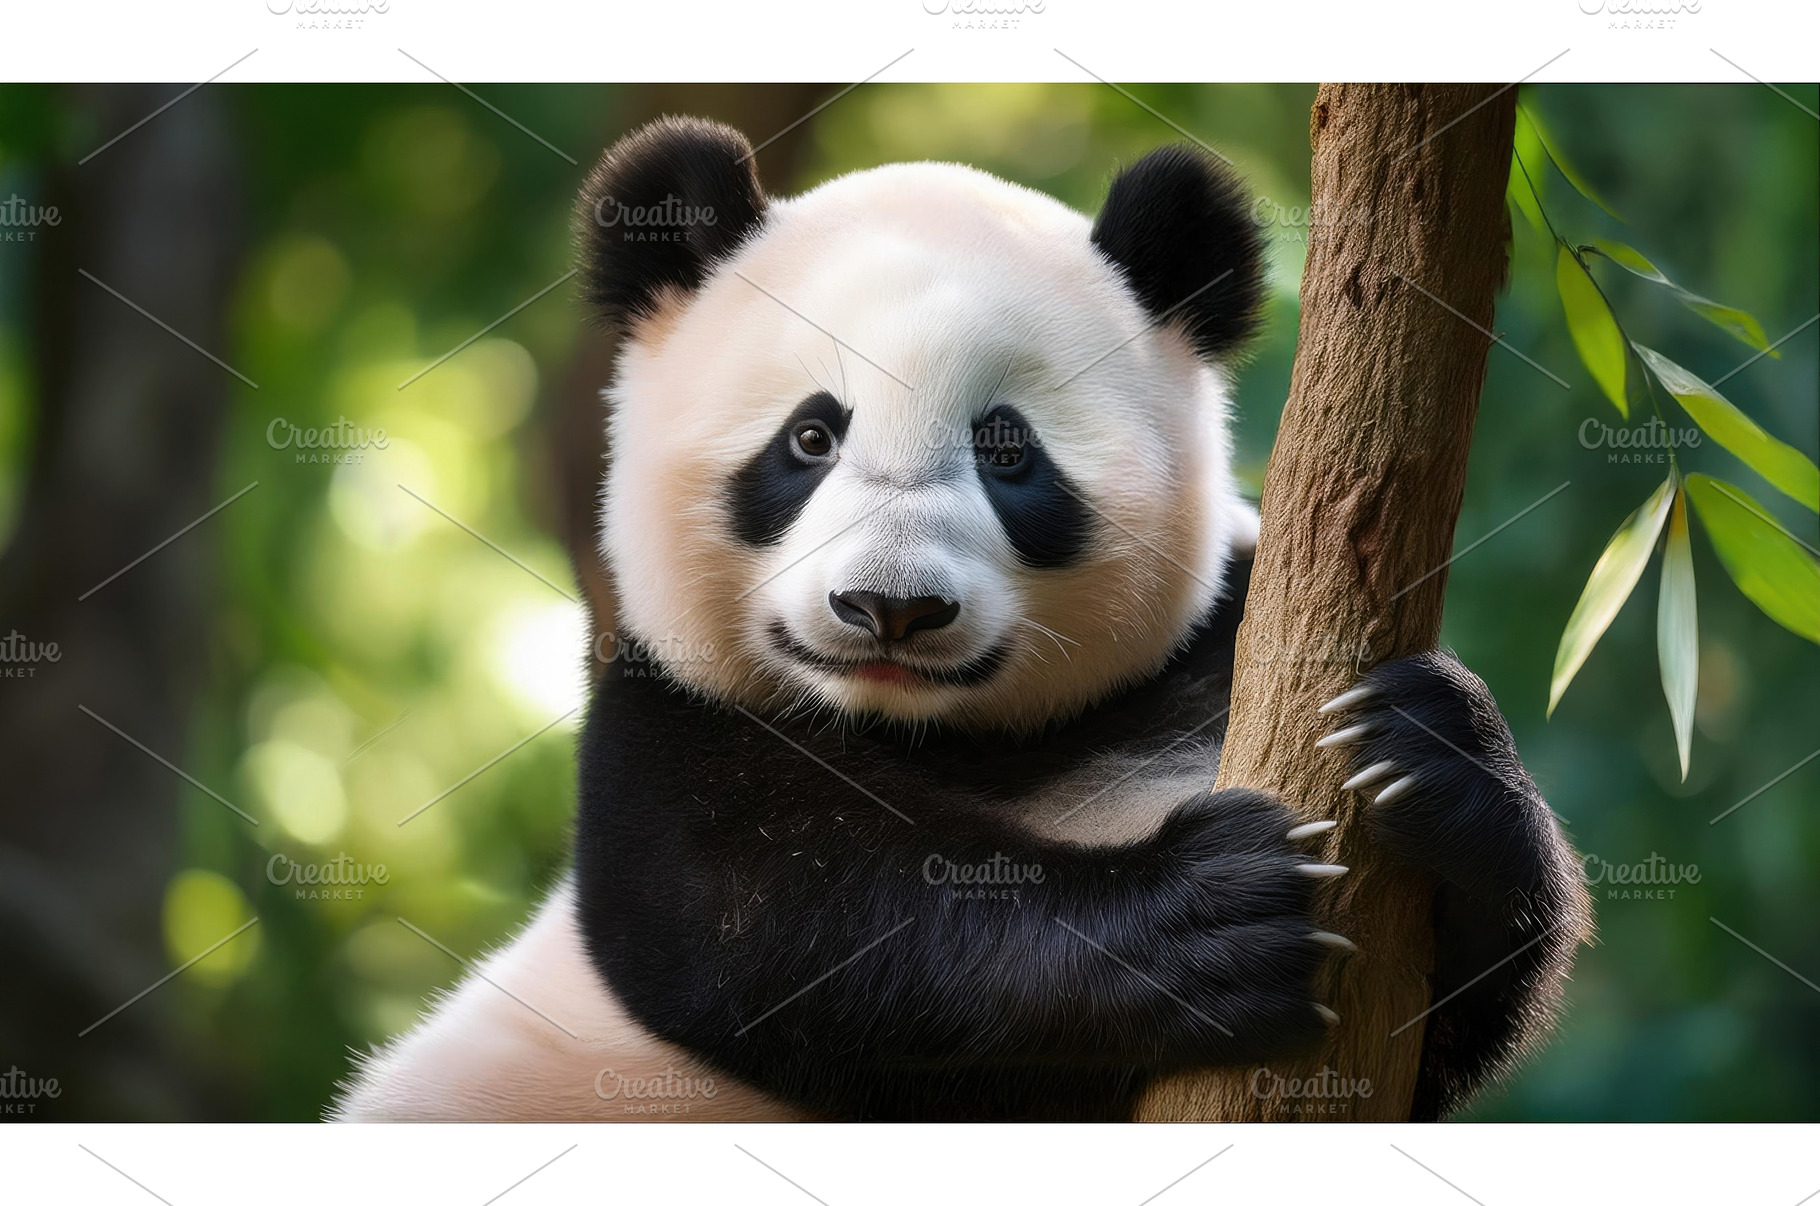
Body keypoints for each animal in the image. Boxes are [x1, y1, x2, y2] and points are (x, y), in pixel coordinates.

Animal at [332, 117, 1592, 1123]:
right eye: (809, 437)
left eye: (1006, 450)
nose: (889, 609)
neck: (950, 737)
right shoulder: (667, 714)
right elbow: (774, 923)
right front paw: (1209, 915)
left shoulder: (1208, 654)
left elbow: (1423, 1033)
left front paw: (1426, 751)